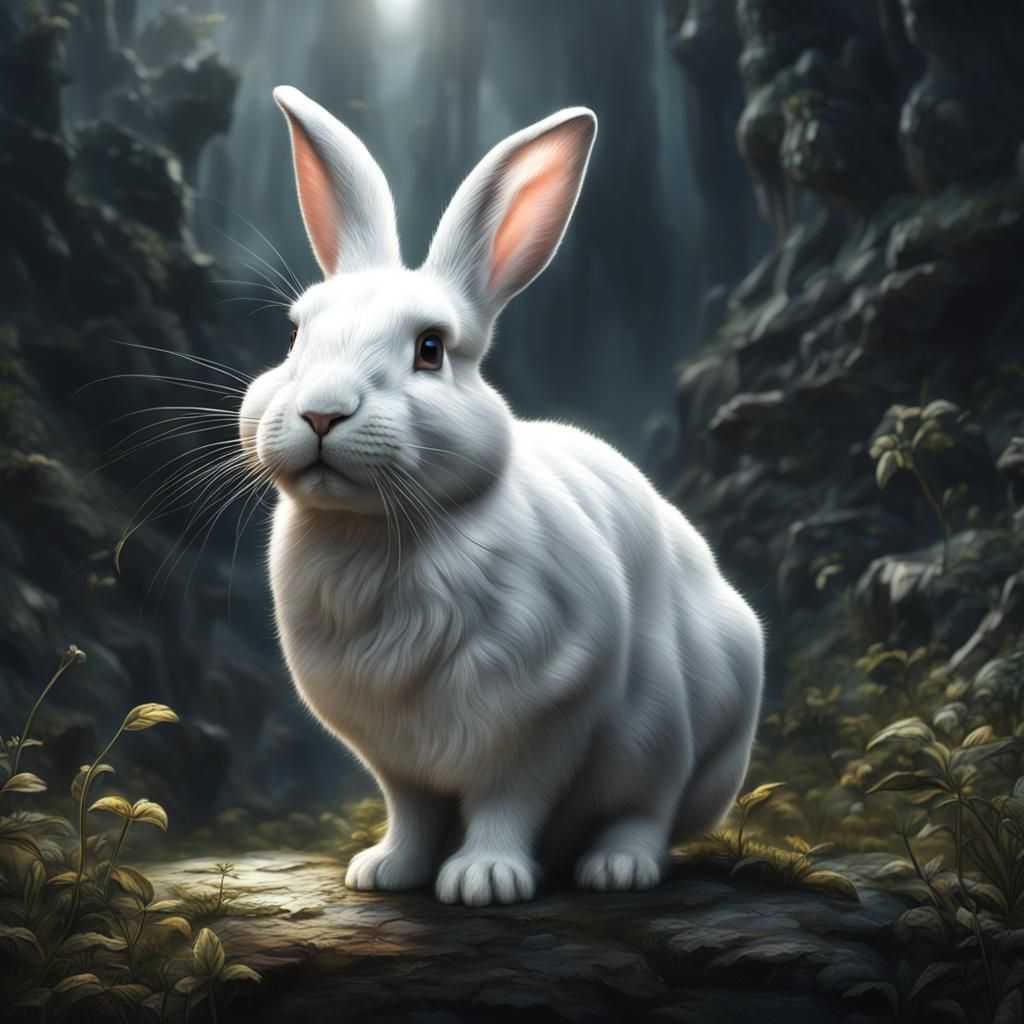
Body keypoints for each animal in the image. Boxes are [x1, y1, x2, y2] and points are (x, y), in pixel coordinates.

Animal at [238, 85, 765, 907]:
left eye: (430, 350)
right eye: (294, 338)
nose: (322, 414)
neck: (384, 530)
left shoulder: (543, 717)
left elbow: (507, 803)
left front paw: (484, 881)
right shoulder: (396, 757)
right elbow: (412, 811)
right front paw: (385, 871)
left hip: (667, 736)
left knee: (647, 811)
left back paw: (617, 869)